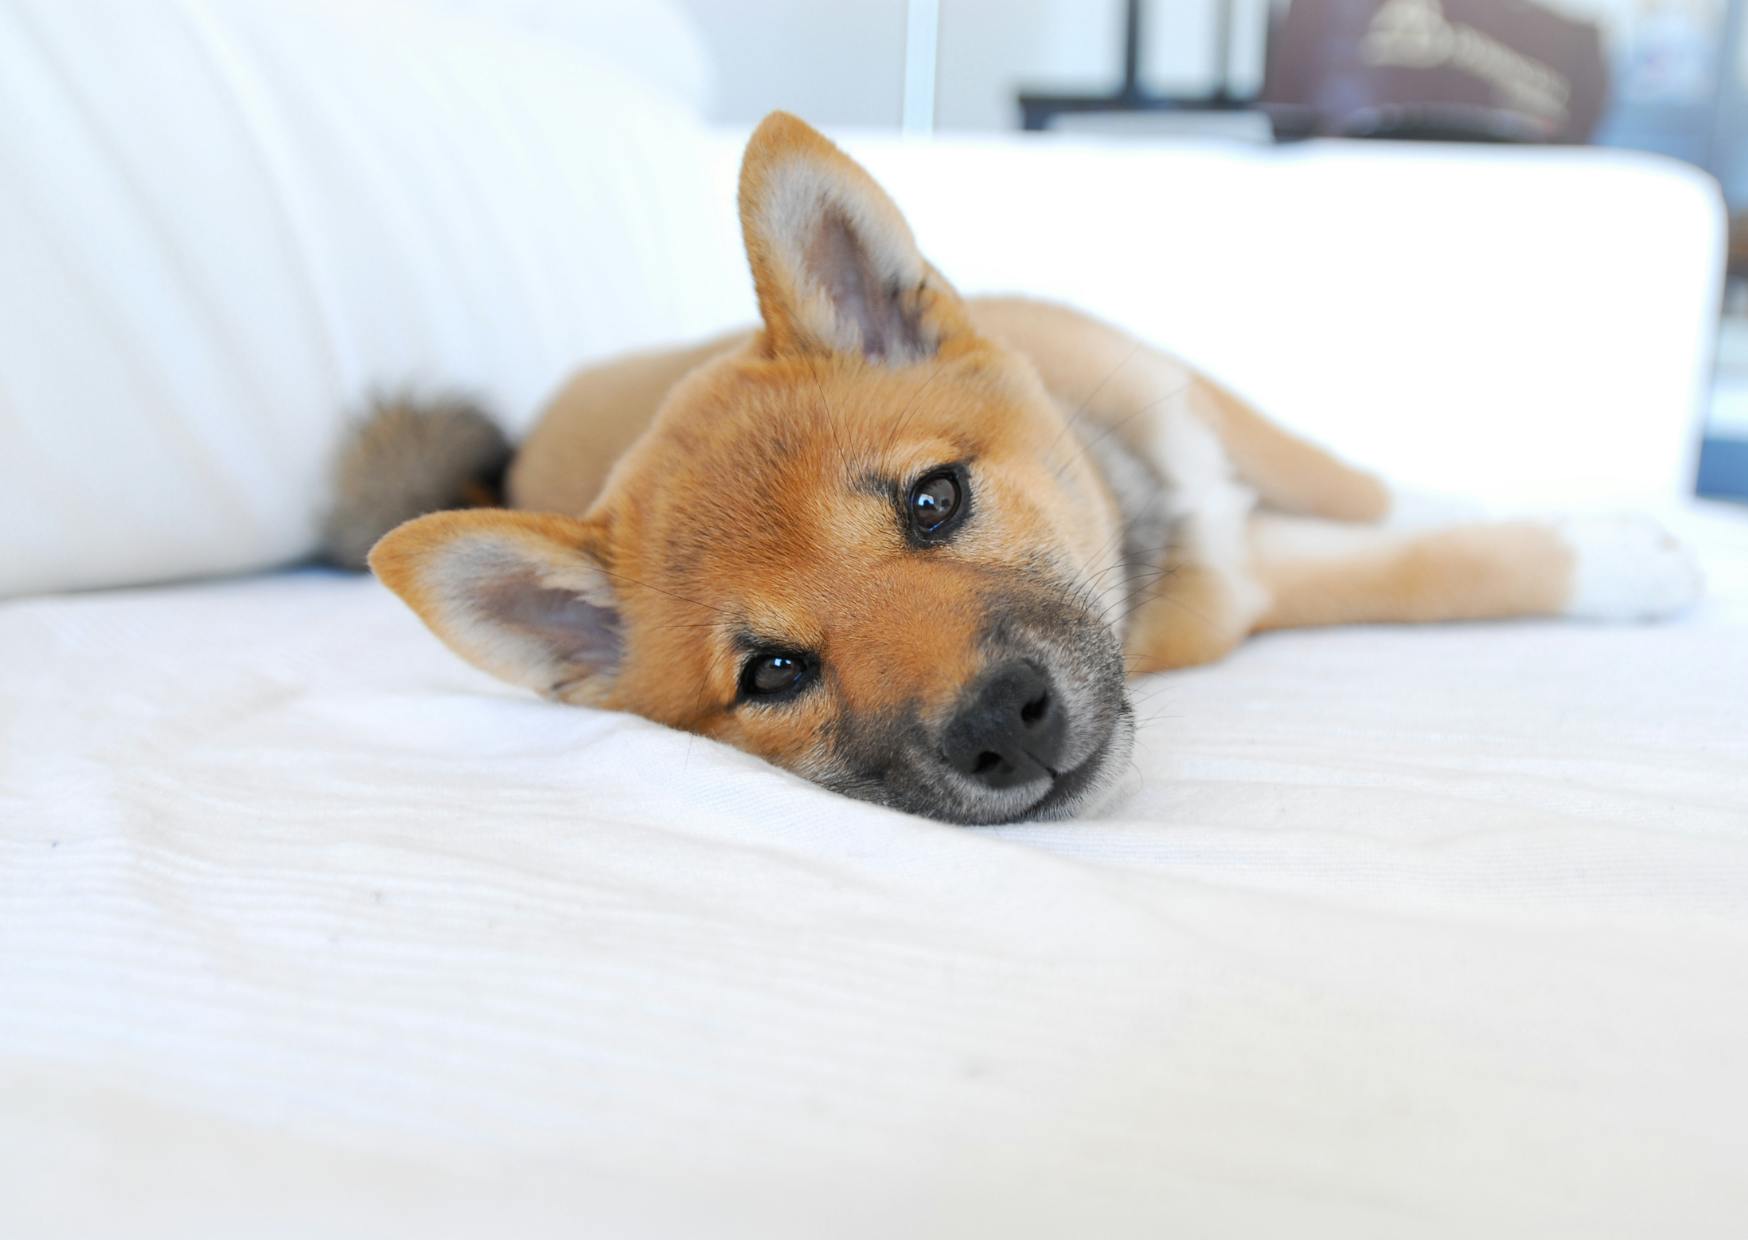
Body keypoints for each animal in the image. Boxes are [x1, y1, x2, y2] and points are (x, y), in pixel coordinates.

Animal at [337, 108, 1692, 822]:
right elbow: (1430, 571)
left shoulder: (1197, 399)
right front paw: (1624, 562)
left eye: (933, 499)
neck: (1141, 508)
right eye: (773, 672)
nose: (998, 725)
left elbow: (1366, 489)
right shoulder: (1240, 592)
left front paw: (1587, 528)